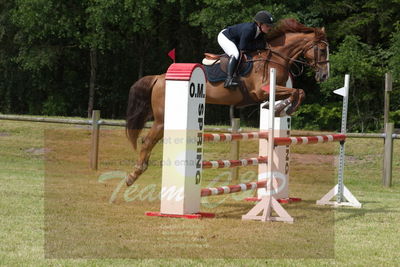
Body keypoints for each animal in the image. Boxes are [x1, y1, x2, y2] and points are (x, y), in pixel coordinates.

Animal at [126, 19, 330, 186]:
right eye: (321, 50)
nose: (324, 76)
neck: (276, 57)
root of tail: (159, 78)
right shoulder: (261, 90)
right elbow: (297, 91)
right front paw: (282, 109)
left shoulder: (272, 91)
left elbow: (297, 92)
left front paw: (277, 108)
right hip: (162, 118)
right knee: (147, 140)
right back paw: (134, 174)